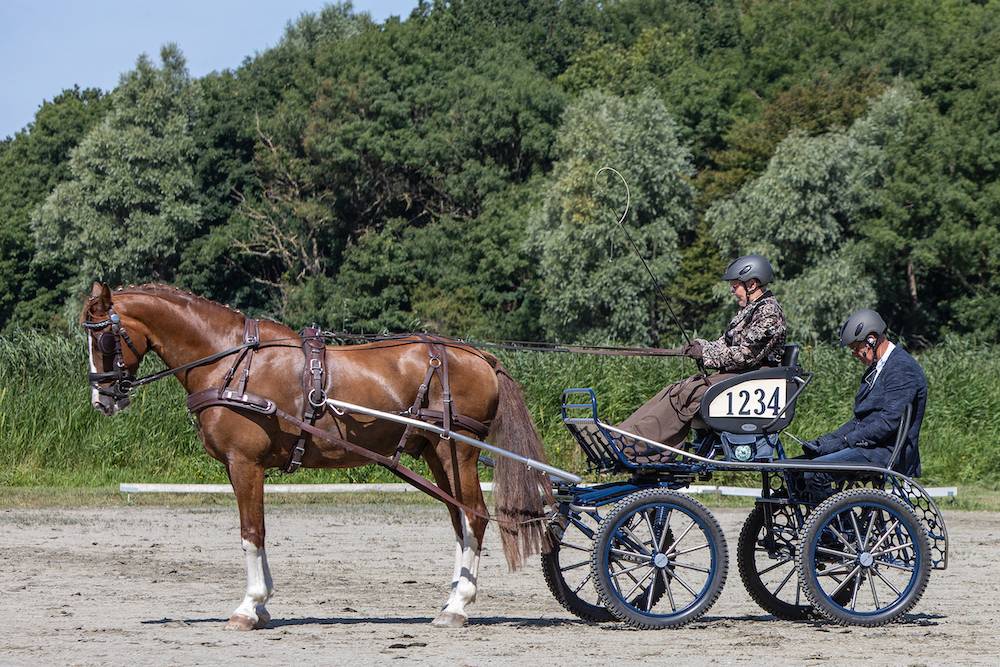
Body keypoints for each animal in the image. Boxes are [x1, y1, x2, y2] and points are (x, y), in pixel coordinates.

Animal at [81, 282, 552, 630]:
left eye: (102, 336)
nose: (102, 399)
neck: (233, 364)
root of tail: (479, 355)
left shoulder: (245, 463)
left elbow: (251, 532)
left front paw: (249, 607)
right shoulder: (243, 469)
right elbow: (258, 531)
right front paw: (263, 605)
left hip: (457, 451)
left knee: (473, 516)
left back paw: (457, 607)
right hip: (439, 458)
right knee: (460, 521)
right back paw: (451, 598)